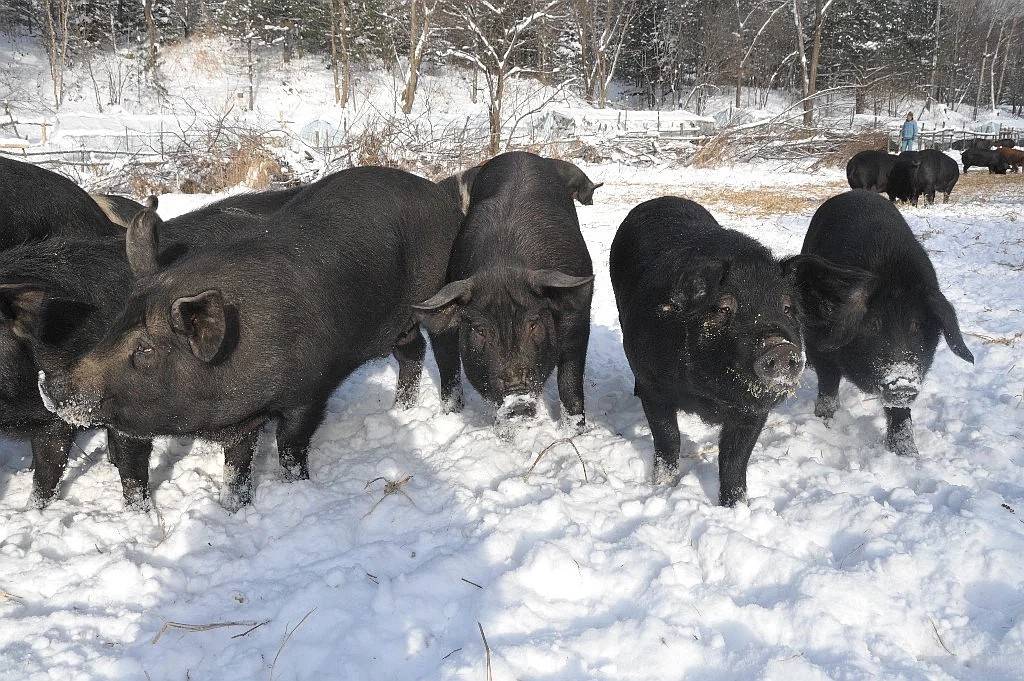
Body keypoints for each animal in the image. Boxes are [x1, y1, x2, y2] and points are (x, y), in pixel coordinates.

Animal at [413, 151, 593, 428]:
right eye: (480, 329)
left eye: (533, 323)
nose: (516, 398)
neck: (504, 264)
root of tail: (519, 153)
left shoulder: (579, 313)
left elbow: (570, 378)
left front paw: (573, 431)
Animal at [794, 189, 970, 456]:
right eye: (873, 324)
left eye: (916, 325)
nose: (902, 383)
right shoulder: (819, 341)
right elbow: (828, 384)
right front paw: (825, 422)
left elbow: (899, 412)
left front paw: (908, 454)